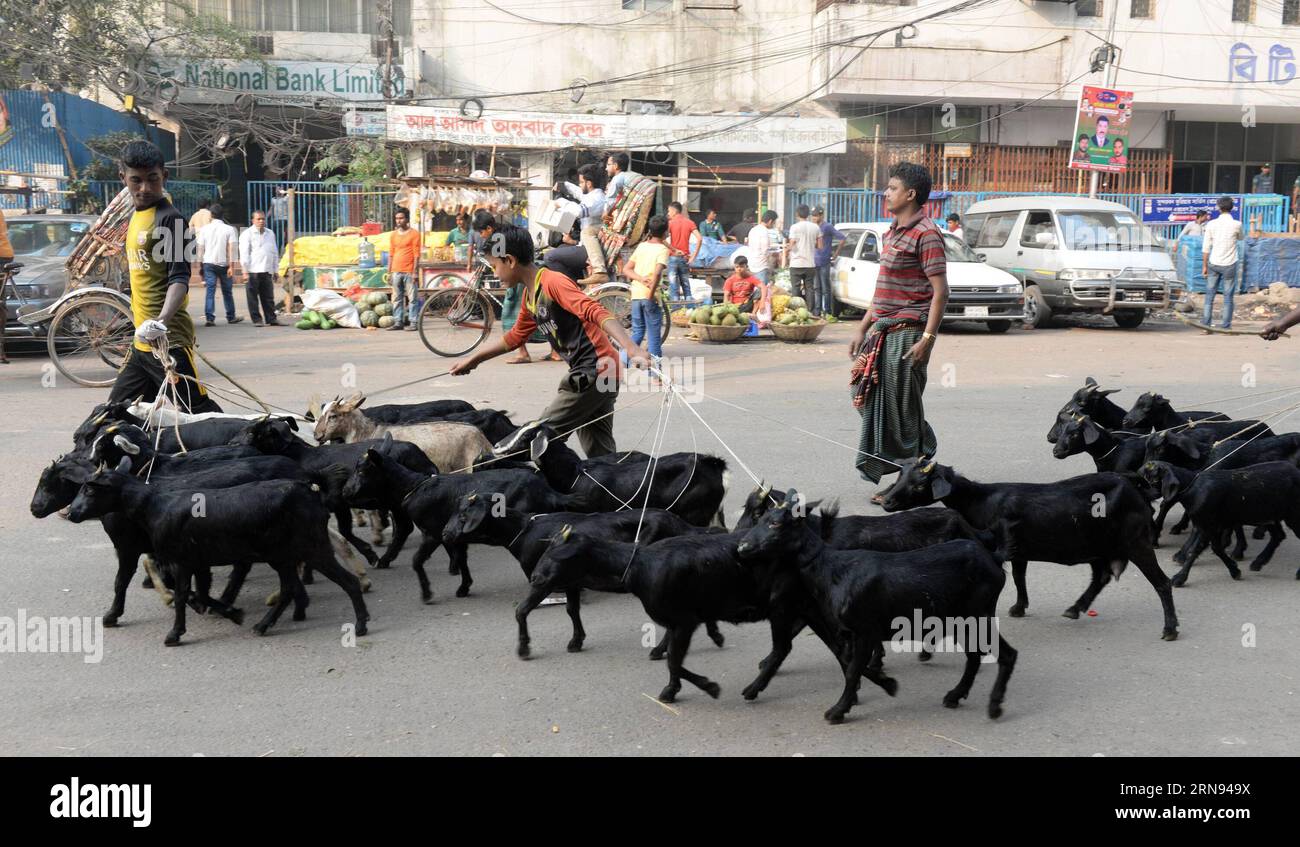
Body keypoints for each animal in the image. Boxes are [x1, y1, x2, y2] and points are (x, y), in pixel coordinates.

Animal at [738, 496, 1008, 722]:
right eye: (760, 517)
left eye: (774, 523)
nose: (742, 546)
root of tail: (992, 558)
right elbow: (845, 657)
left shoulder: (856, 626)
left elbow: (848, 665)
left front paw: (842, 707)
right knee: (976, 654)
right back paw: (954, 692)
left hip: (976, 613)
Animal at [878, 459, 1175, 639]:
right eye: (900, 476)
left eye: (919, 483)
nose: (887, 502)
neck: (981, 500)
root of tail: (1136, 488)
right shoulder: (1018, 551)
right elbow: (1020, 577)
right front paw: (1019, 607)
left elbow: (1013, 577)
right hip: (1098, 545)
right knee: (1100, 576)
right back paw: (1075, 608)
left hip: (1136, 542)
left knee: (1161, 582)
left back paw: (1170, 628)